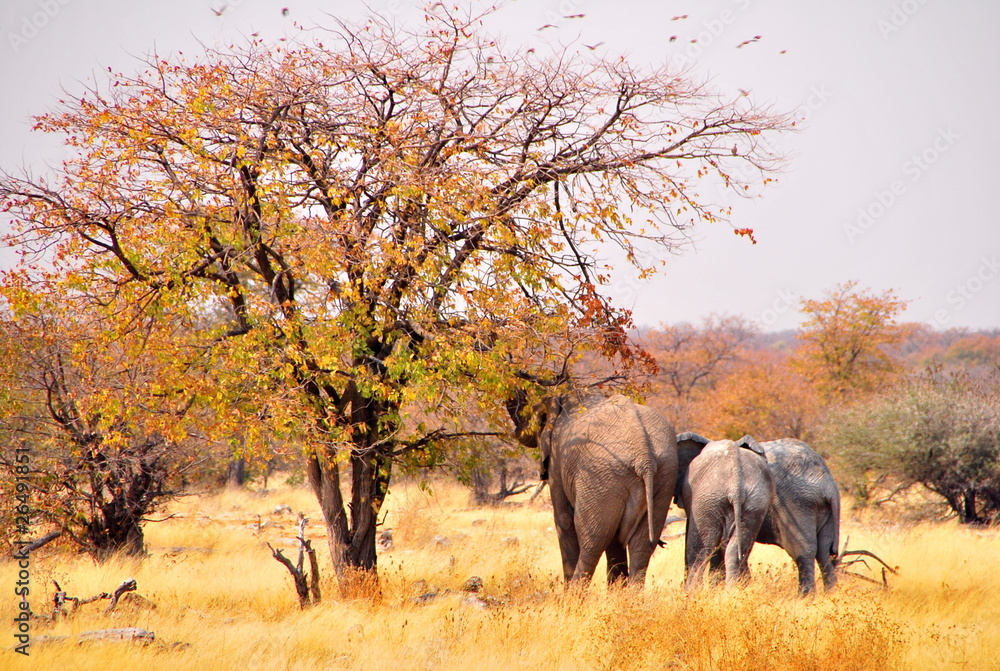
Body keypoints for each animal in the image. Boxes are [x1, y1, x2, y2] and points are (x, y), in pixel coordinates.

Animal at [509, 392, 678, 586]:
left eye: (531, 415)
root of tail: (644, 457)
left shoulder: (557, 460)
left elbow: (564, 519)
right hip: (662, 475)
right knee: (641, 546)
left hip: (599, 477)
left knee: (592, 542)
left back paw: (575, 592)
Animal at [675, 433, 775, 589]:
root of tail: (736, 483)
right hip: (755, 502)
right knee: (736, 549)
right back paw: (732, 590)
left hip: (707, 499)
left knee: (700, 551)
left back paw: (691, 592)